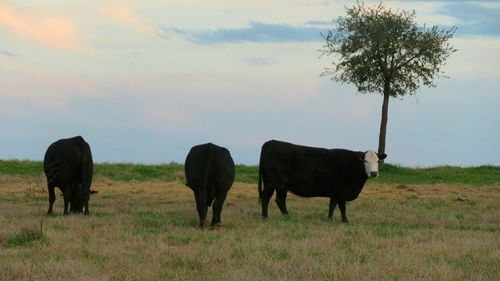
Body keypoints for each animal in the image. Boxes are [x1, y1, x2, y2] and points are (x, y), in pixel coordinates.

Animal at [258, 139, 386, 222]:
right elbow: (337, 206)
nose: (373, 173)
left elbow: (337, 206)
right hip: (275, 184)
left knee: (274, 199)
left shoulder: (338, 193)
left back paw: (277, 217)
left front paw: (340, 220)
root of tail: (269, 143)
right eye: (365, 161)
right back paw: (273, 218)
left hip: (276, 185)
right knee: (272, 199)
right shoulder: (339, 191)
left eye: (377, 161)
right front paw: (335, 220)